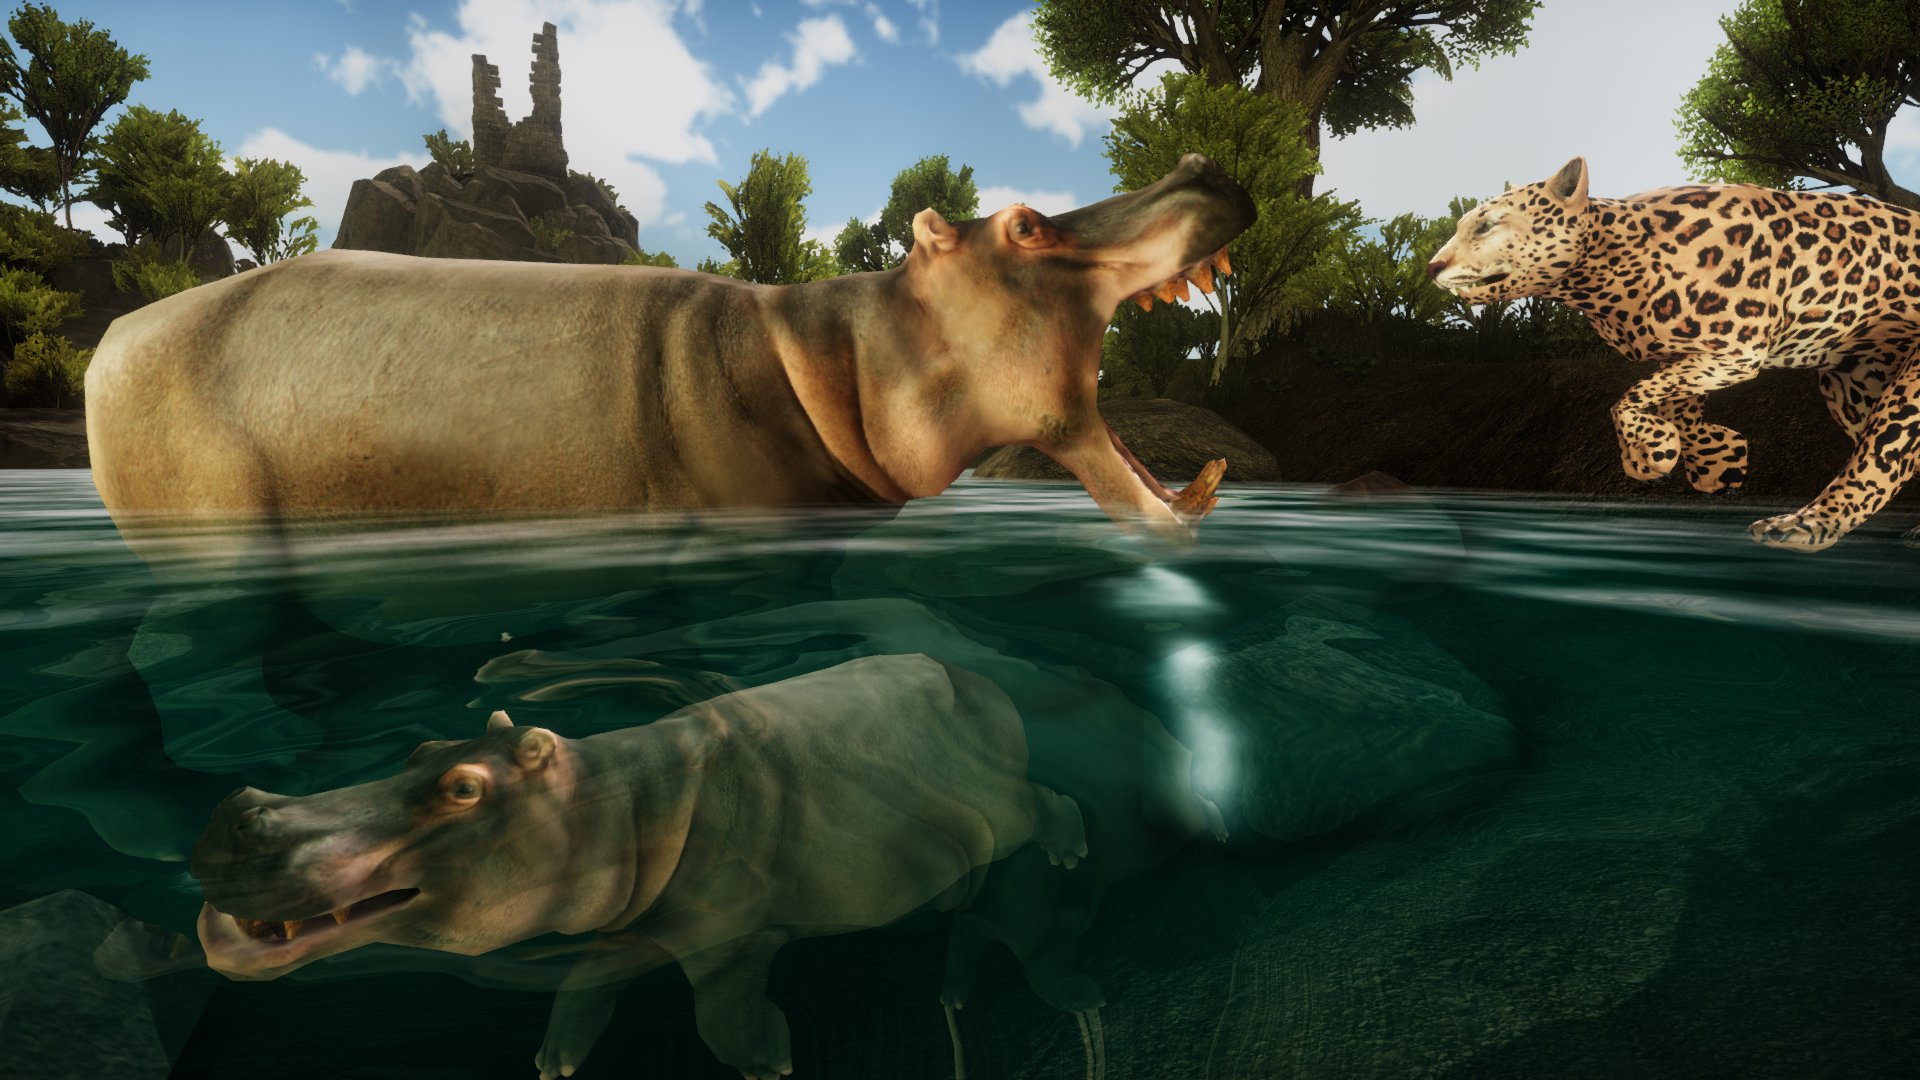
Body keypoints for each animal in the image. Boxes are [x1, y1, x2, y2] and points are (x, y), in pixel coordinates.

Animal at [189, 654, 1088, 1080]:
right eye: (420, 748)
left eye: (463, 788)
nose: (241, 811)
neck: (620, 798)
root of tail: (973, 675)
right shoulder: (632, 923)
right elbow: (585, 981)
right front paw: (554, 1062)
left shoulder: (731, 936)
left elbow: (720, 1016)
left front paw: (770, 1060)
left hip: (1004, 806)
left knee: (1044, 804)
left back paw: (1071, 855)